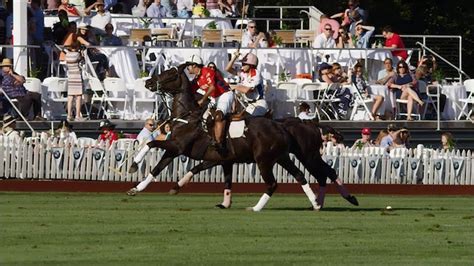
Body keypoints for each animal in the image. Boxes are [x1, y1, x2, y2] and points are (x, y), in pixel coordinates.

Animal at [126, 65, 320, 211]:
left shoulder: (177, 146)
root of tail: (280, 126)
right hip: (281, 157)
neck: (187, 115)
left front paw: (134, 165)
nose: (148, 82)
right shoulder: (180, 150)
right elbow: (157, 168)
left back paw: (255, 208)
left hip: (264, 160)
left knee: (272, 184)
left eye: (170, 74)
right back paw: (316, 203)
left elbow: (151, 143)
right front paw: (136, 188)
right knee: (300, 175)